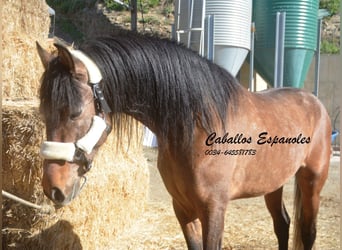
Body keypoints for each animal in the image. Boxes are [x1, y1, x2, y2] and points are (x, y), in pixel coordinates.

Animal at [36, 32, 332, 249]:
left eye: (75, 112)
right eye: (43, 112)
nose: (54, 189)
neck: (198, 127)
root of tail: (315, 102)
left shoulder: (214, 210)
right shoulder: (183, 208)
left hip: (312, 182)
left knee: (308, 232)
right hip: (273, 184)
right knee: (282, 225)